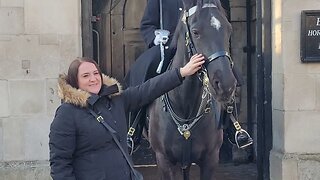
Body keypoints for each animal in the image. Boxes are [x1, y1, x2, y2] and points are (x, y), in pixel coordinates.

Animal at [148, 0, 238, 180]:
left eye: (229, 29)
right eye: (195, 32)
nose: (226, 85)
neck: (185, 106)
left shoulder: (210, 159)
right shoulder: (165, 161)